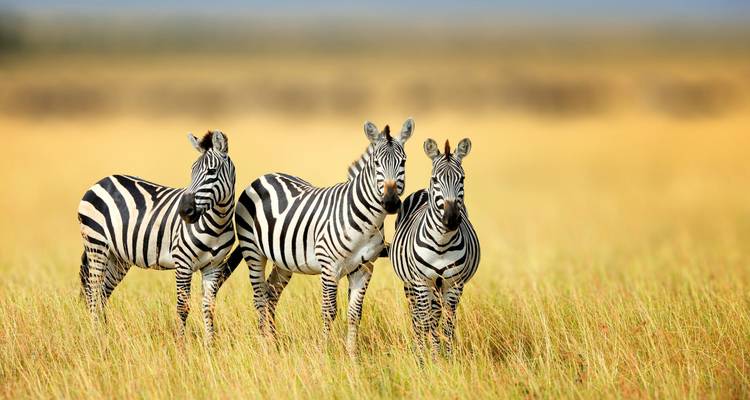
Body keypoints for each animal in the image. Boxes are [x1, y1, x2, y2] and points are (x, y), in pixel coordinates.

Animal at [77, 130, 236, 344]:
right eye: (192, 171)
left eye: (211, 172)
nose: (184, 211)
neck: (217, 223)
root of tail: (102, 181)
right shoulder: (183, 263)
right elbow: (182, 307)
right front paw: (181, 346)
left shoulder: (214, 266)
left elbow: (208, 308)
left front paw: (209, 346)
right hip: (97, 246)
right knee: (93, 292)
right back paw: (96, 337)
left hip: (117, 257)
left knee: (102, 294)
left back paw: (105, 336)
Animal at [221, 118, 414, 355]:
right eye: (376, 163)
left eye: (403, 162)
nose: (391, 202)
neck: (368, 222)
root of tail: (265, 176)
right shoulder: (329, 266)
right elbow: (329, 312)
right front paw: (325, 353)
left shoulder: (365, 268)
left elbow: (355, 314)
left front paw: (352, 356)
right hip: (253, 251)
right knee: (259, 297)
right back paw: (265, 345)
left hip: (283, 260)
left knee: (271, 294)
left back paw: (273, 343)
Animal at [390, 137, 480, 358]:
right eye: (436, 179)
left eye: (462, 178)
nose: (451, 219)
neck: (442, 242)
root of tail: (423, 190)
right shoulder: (421, 282)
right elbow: (426, 321)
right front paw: (428, 359)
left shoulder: (454, 284)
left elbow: (447, 324)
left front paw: (446, 357)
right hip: (411, 284)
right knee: (417, 317)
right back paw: (419, 350)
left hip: (439, 286)